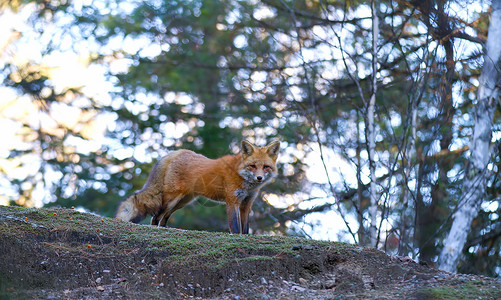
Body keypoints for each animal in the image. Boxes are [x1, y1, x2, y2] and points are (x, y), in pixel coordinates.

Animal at [117, 141, 282, 234]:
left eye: (266, 167)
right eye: (252, 166)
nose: (259, 178)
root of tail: (177, 152)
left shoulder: (247, 204)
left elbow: (246, 229)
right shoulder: (232, 201)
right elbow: (235, 227)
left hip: (182, 202)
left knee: (163, 218)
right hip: (171, 199)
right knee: (156, 217)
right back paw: (155, 230)